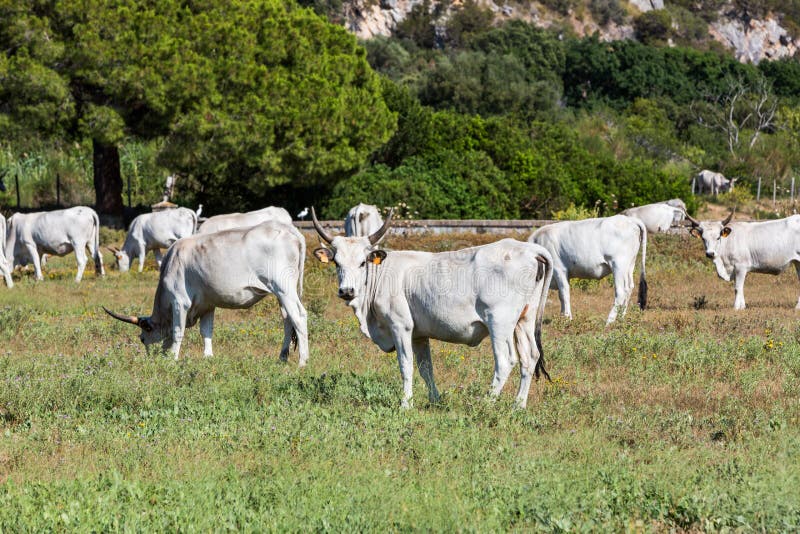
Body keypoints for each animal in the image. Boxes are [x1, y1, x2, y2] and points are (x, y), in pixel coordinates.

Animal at [104, 221, 309, 363]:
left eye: (142, 338)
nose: (152, 358)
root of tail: (289, 229)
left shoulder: (179, 302)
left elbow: (178, 331)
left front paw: (172, 359)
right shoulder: (207, 305)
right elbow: (206, 332)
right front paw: (208, 357)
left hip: (284, 288)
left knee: (299, 317)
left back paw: (303, 362)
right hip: (282, 294)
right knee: (287, 320)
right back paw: (282, 357)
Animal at [311, 208, 554, 409]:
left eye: (362, 263)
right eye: (337, 263)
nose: (347, 291)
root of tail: (530, 249)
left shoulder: (400, 327)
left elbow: (406, 365)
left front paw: (405, 404)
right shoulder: (419, 335)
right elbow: (426, 368)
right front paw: (435, 400)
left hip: (499, 323)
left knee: (505, 360)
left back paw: (485, 402)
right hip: (524, 320)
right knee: (530, 357)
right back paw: (518, 405)